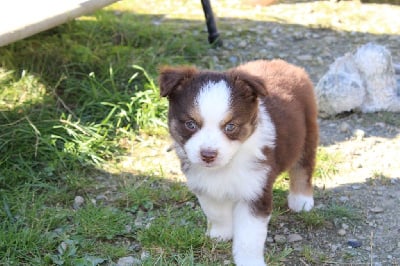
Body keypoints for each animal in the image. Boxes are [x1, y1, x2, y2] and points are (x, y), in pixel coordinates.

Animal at [158, 59, 318, 264]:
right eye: (190, 124)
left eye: (230, 126)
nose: (208, 155)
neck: (227, 165)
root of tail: (286, 65)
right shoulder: (204, 185)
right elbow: (216, 212)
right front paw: (221, 234)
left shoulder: (255, 191)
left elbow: (249, 236)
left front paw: (250, 262)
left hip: (308, 132)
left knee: (303, 168)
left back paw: (301, 201)